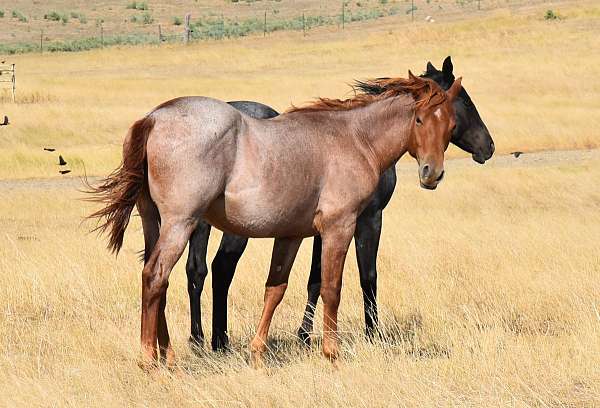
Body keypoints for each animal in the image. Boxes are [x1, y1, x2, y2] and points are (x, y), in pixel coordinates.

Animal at [89, 71, 462, 364]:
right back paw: (150, 361)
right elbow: (332, 287)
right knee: (156, 277)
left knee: (155, 281)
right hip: (181, 224)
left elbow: (275, 289)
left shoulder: (291, 234)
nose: (432, 173)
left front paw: (258, 351)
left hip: (154, 222)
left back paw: (166, 354)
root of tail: (154, 117)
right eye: (419, 119)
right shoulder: (340, 227)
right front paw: (331, 353)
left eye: (451, 124)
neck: (353, 140)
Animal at [185, 56, 494, 350]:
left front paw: (305, 335)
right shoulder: (368, 219)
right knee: (222, 268)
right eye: (465, 100)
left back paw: (200, 339)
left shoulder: (318, 228)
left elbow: (316, 279)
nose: (488, 147)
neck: (363, 139)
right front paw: (371, 333)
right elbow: (367, 276)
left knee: (197, 271)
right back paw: (220, 341)